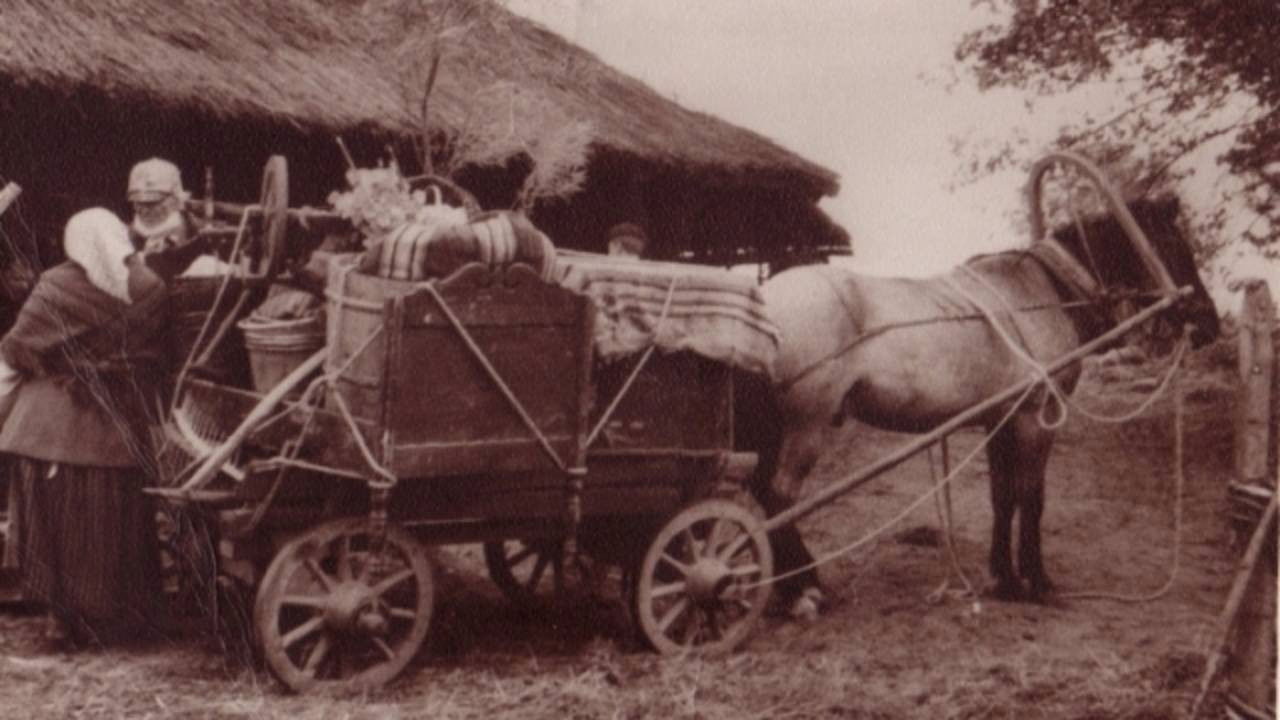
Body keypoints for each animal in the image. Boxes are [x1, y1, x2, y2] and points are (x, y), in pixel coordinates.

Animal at [738, 198, 1220, 610]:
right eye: (1176, 245)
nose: (1209, 323)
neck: (1044, 291)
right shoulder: (1036, 416)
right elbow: (1031, 496)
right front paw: (1036, 581)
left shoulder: (999, 420)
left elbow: (1002, 496)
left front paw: (1004, 577)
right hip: (807, 423)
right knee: (780, 495)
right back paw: (803, 589)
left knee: (762, 489)